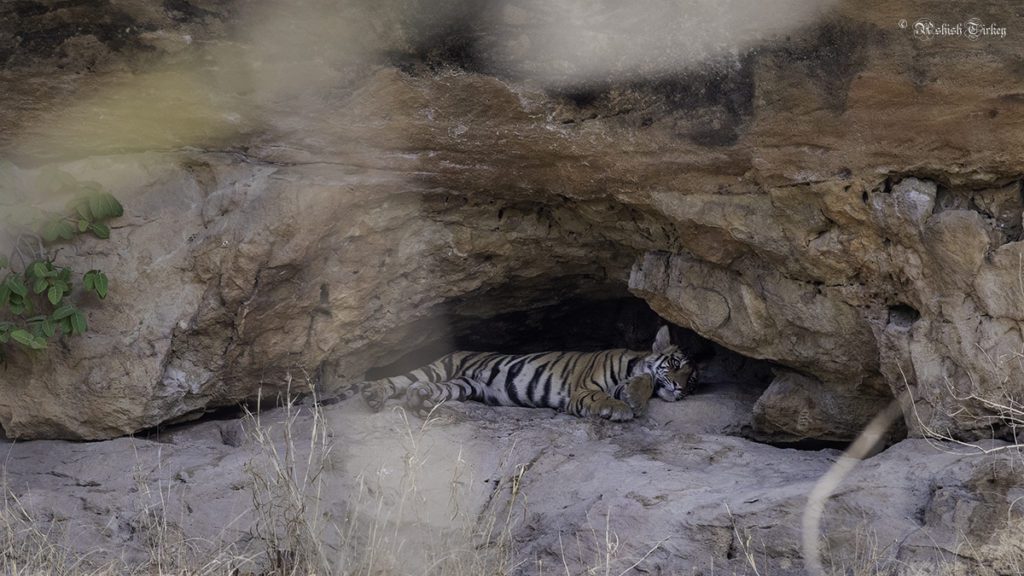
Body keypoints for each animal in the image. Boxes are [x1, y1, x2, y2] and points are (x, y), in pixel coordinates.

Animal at [352, 325, 696, 420]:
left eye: (692, 383)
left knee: (425, 389)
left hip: (463, 385)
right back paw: (373, 394)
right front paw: (622, 407)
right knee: (398, 380)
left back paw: (418, 400)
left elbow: (645, 380)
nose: (680, 390)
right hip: (440, 367)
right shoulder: (583, 389)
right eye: (676, 366)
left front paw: (634, 396)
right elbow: (604, 396)